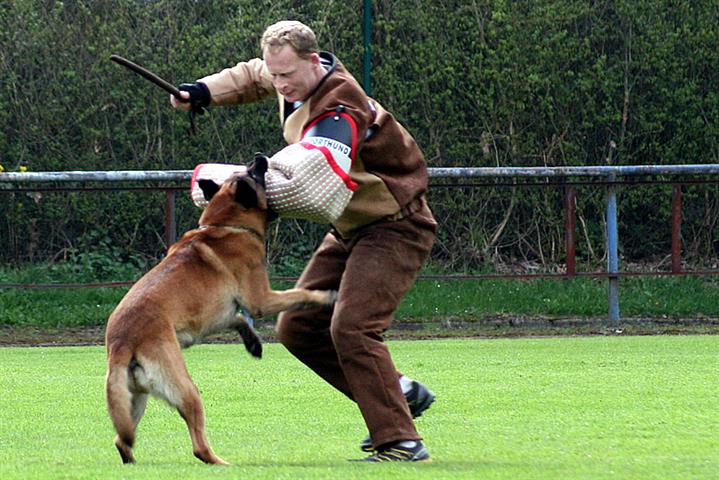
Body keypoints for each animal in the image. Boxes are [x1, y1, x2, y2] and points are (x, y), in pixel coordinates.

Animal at [105, 155, 335, 465]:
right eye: (255, 174)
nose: (260, 157)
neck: (225, 224)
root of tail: (121, 342)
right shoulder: (261, 299)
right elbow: (299, 294)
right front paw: (325, 296)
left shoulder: (219, 315)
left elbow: (239, 319)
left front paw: (253, 343)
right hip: (187, 389)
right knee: (198, 446)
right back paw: (222, 463)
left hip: (134, 398)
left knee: (121, 439)